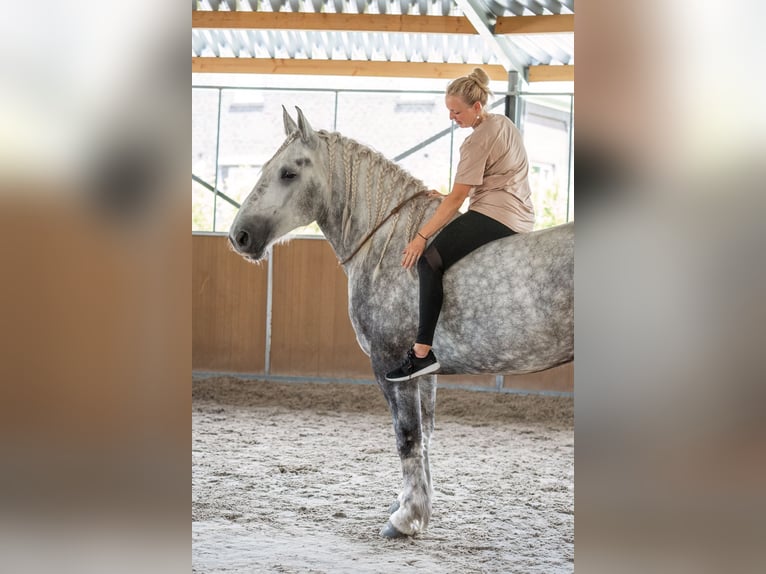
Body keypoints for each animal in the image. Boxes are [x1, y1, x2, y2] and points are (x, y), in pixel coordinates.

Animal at [228, 107, 574, 538]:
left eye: (288, 173)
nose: (239, 236)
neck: (389, 245)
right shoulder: (422, 373)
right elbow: (424, 436)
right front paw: (416, 508)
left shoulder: (390, 365)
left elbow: (406, 437)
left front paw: (405, 518)